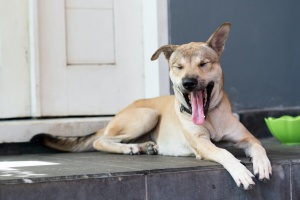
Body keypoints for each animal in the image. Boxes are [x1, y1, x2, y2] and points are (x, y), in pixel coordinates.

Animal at [31, 22, 274, 190]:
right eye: (178, 67)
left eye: (204, 64)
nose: (188, 82)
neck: (210, 116)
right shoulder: (202, 144)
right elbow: (224, 152)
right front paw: (240, 171)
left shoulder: (246, 137)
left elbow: (258, 146)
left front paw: (262, 164)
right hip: (147, 115)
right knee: (100, 141)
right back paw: (130, 148)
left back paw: (144, 146)